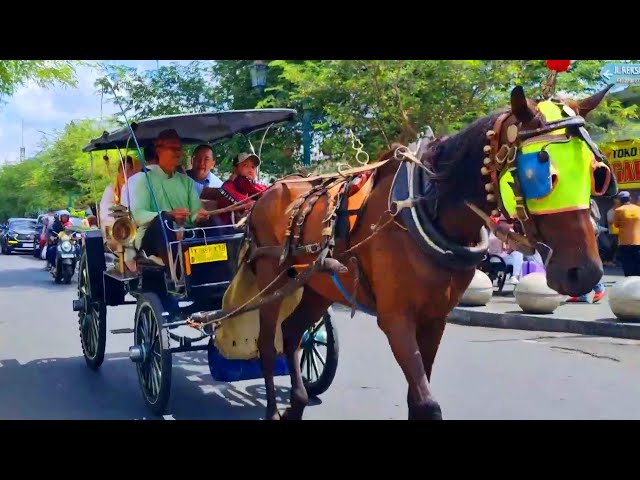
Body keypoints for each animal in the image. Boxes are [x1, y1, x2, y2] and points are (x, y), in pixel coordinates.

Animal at [242, 83, 612, 420]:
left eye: (597, 173)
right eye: (541, 172)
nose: (586, 273)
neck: (427, 206)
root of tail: (272, 189)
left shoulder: (435, 318)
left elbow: (416, 399)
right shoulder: (396, 319)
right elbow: (427, 403)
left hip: (319, 286)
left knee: (292, 332)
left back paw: (297, 403)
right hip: (272, 281)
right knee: (267, 343)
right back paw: (273, 409)